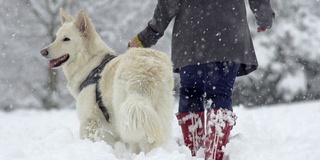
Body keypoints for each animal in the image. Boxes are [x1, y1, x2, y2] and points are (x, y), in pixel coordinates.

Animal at [40, 9, 175, 154]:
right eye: (56, 37)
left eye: (66, 39)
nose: (43, 51)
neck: (90, 62)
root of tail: (145, 72)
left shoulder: (88, 120)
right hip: (156, 115)